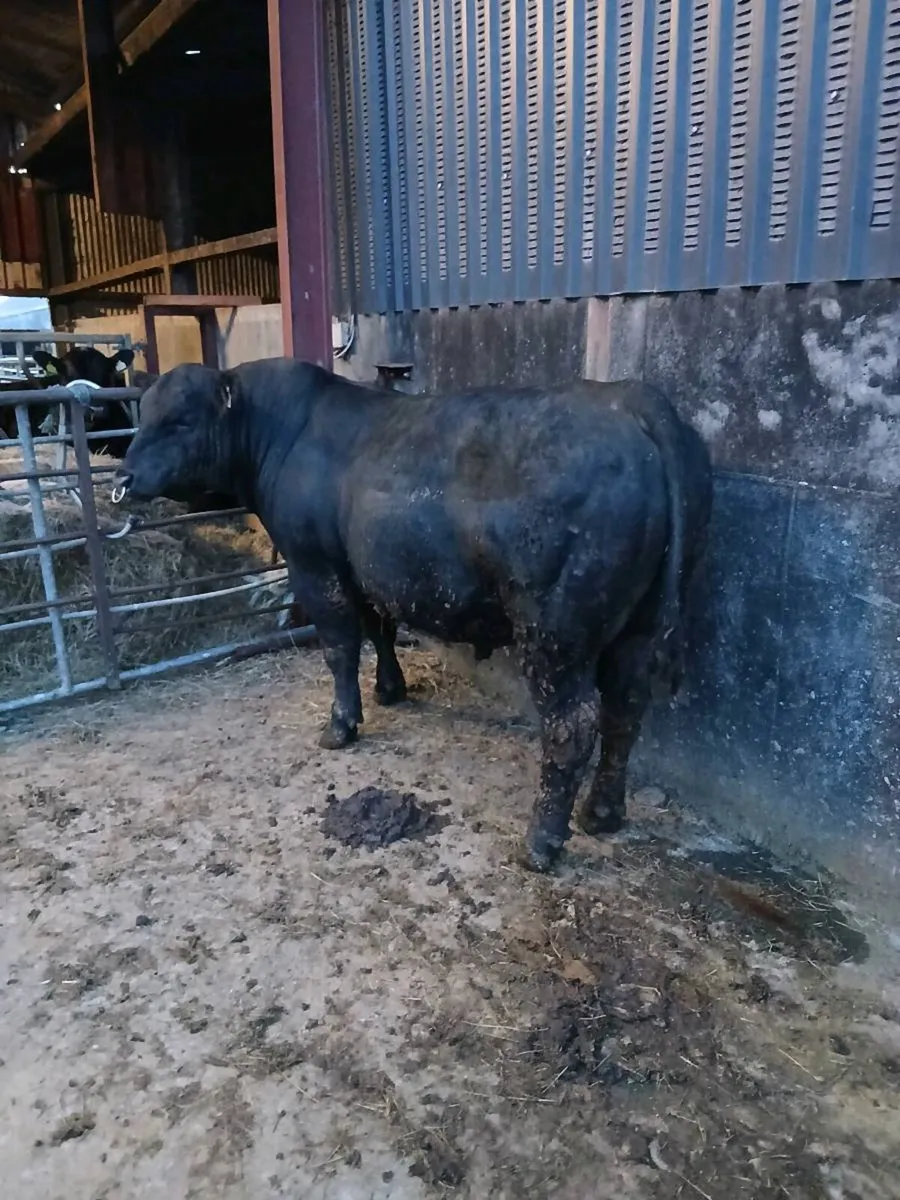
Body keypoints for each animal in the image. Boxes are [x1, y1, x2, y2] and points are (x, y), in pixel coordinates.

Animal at [112, 358, 713, 872]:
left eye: (180, 420)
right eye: (144, 414)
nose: (122, 480)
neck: (285, 434)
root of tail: (629, 398)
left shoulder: (316, 567)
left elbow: (340, 648)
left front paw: (341, 724)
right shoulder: (366, 570)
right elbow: (380, 629)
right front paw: (390, 689)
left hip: (554, 633)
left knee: (573, 725)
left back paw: (542, 842)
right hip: (635, 628)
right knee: (624, 709)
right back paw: (602, 813)